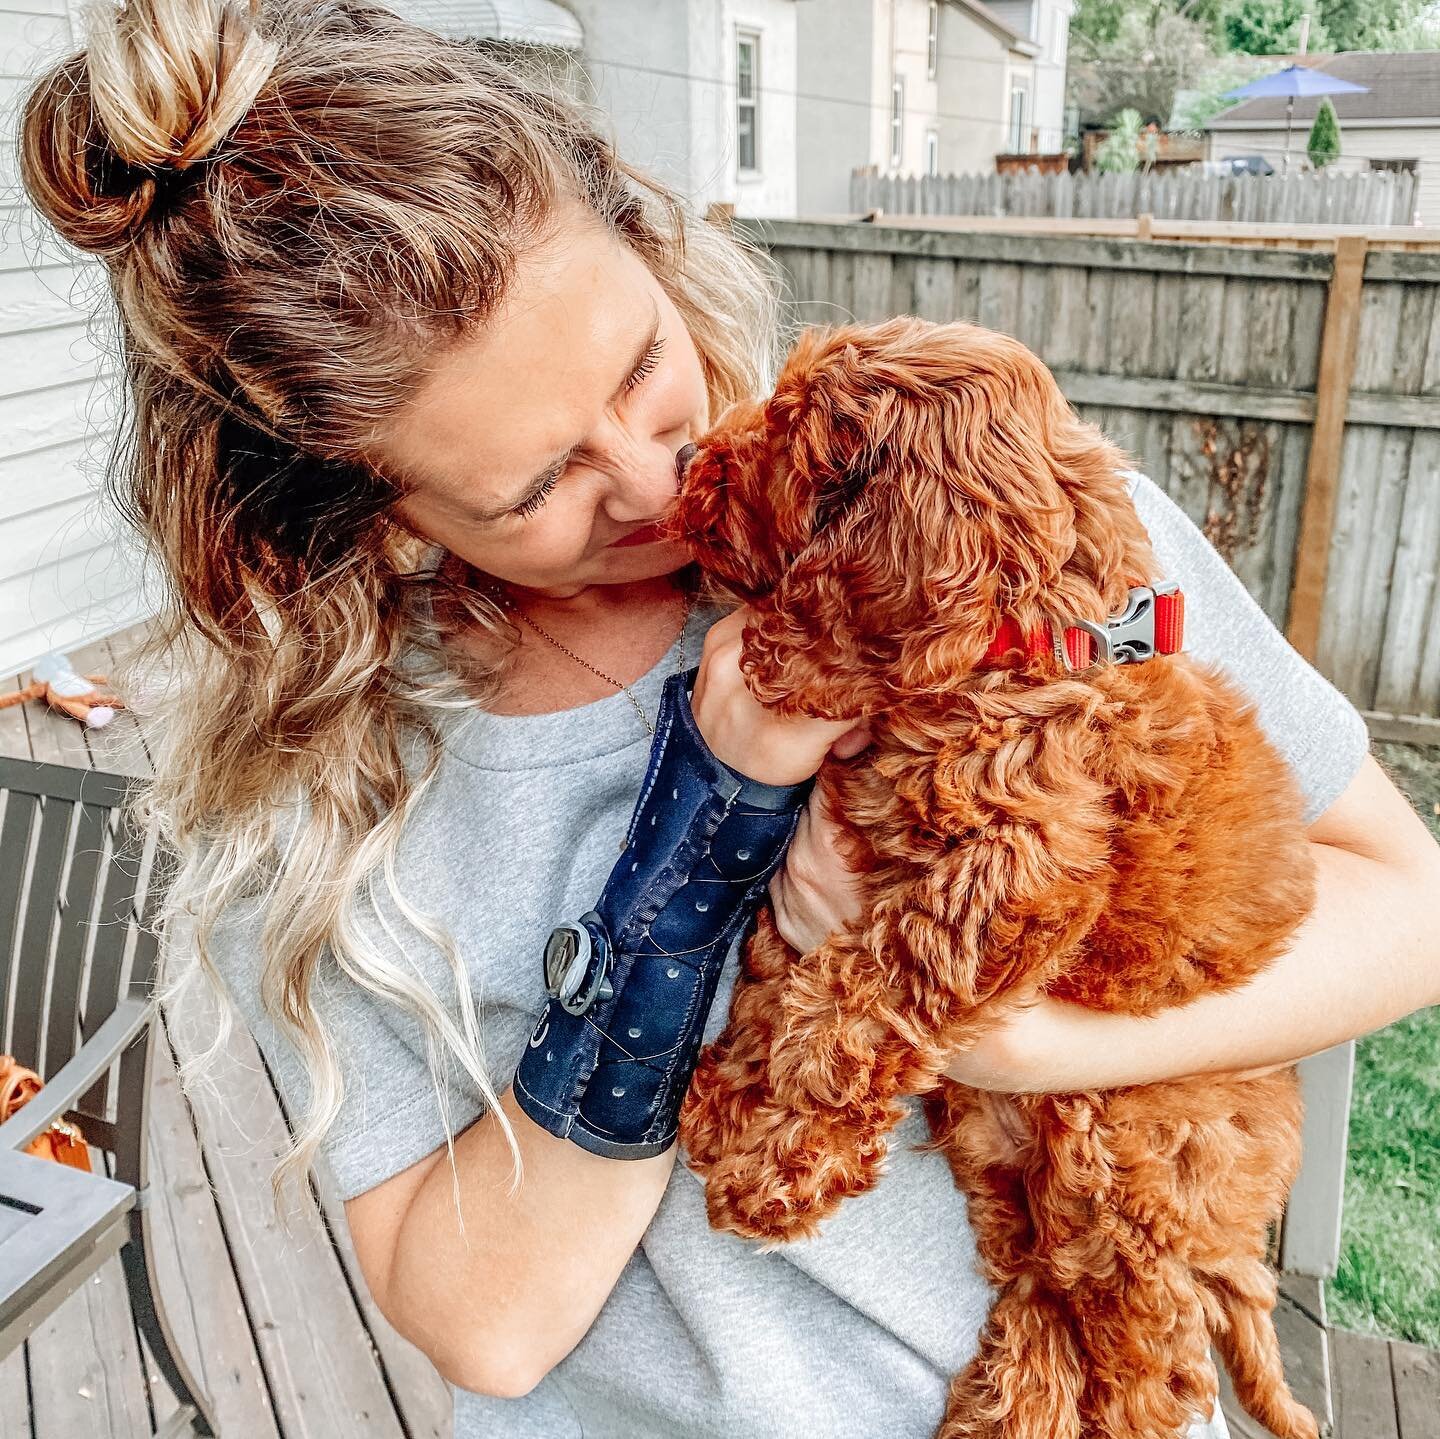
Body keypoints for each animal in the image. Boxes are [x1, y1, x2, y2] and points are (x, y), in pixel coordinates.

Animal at [671, 318, 1319, 1439]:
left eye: (792, 428)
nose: (684, 464)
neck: (1016, 638)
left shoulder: (1017, 866)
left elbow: (855, 1000)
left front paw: (774, 1165)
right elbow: (778, 974)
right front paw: (729, 1100)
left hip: (1125, 1158)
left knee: (1150, 1359)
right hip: (1015, 1178)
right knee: (1045, 1303)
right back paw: (997, 1407)